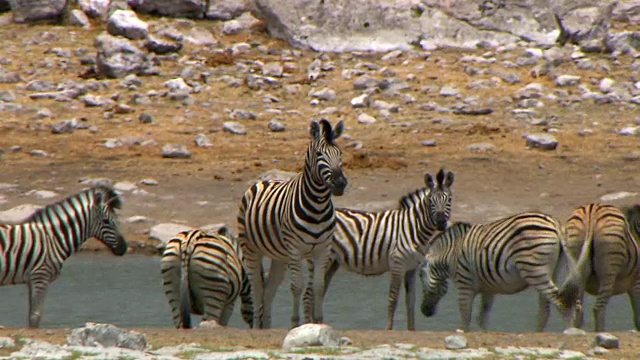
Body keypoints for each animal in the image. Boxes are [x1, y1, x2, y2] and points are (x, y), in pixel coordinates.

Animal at [0, 186, 127, 330]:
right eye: (106, 221)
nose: (124, 248)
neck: (53, 238)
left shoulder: (31, 280)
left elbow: (32, 315)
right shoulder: (40, 276)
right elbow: (35, 316)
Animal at [236, 119, 348, 330]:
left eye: (340, 154)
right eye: (319, 154)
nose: (340, 183)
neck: (318, 206)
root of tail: (264, 181)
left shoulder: (322, 249)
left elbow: (318, 286)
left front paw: (319, 322)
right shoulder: (296, 249)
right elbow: (297, 287)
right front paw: (295, 324)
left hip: (280, 257)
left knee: (268, 290)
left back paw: (266, 327)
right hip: (251, 248)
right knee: (257, 288)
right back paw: (256, 328)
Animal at [302, 168, 452, 330]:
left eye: (449, 200)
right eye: (431, 201)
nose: (441, 223)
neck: (413, 226)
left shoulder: (411, 268)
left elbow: (410, 302)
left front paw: (411, 330)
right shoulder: (397, 264)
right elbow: (393, 299)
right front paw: (389, 329)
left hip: (332, 262)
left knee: (318, 292)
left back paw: (316, 324)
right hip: (320, 259)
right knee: (308, 295)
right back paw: (306, 326)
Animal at [420, 212, 580, 334]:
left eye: (421, 276)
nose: (424, 311)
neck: (451, 254)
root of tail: (557, 225)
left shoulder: (464, 283)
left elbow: (465, 316)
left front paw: (463, 332)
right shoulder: (488, 289)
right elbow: (482, 318)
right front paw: (485, 334)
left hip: (535, 270)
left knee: (560, 302)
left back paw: (568, 332)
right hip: (553, 271)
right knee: (545, 309)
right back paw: (537, 334)